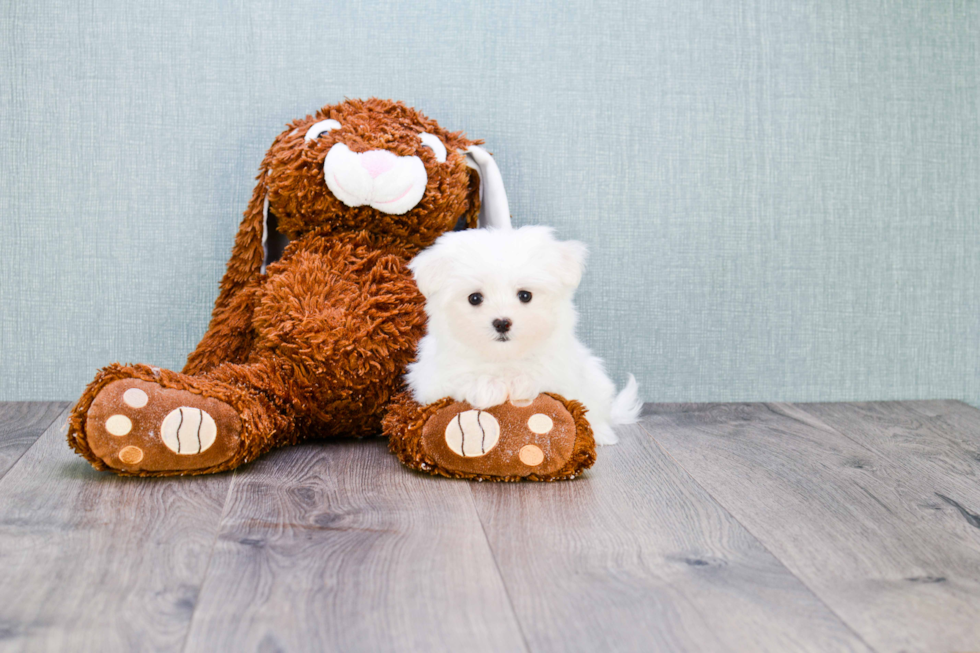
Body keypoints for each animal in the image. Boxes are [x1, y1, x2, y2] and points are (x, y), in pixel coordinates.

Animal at [406, 224, 644, 444]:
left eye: (525, 295)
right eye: (474, 298)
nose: (502, 323)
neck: (504, 357)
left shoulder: (561, 370)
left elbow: (538, 373)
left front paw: (518, 382)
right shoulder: (432, 378)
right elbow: (462, 377)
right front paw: (489, 387)